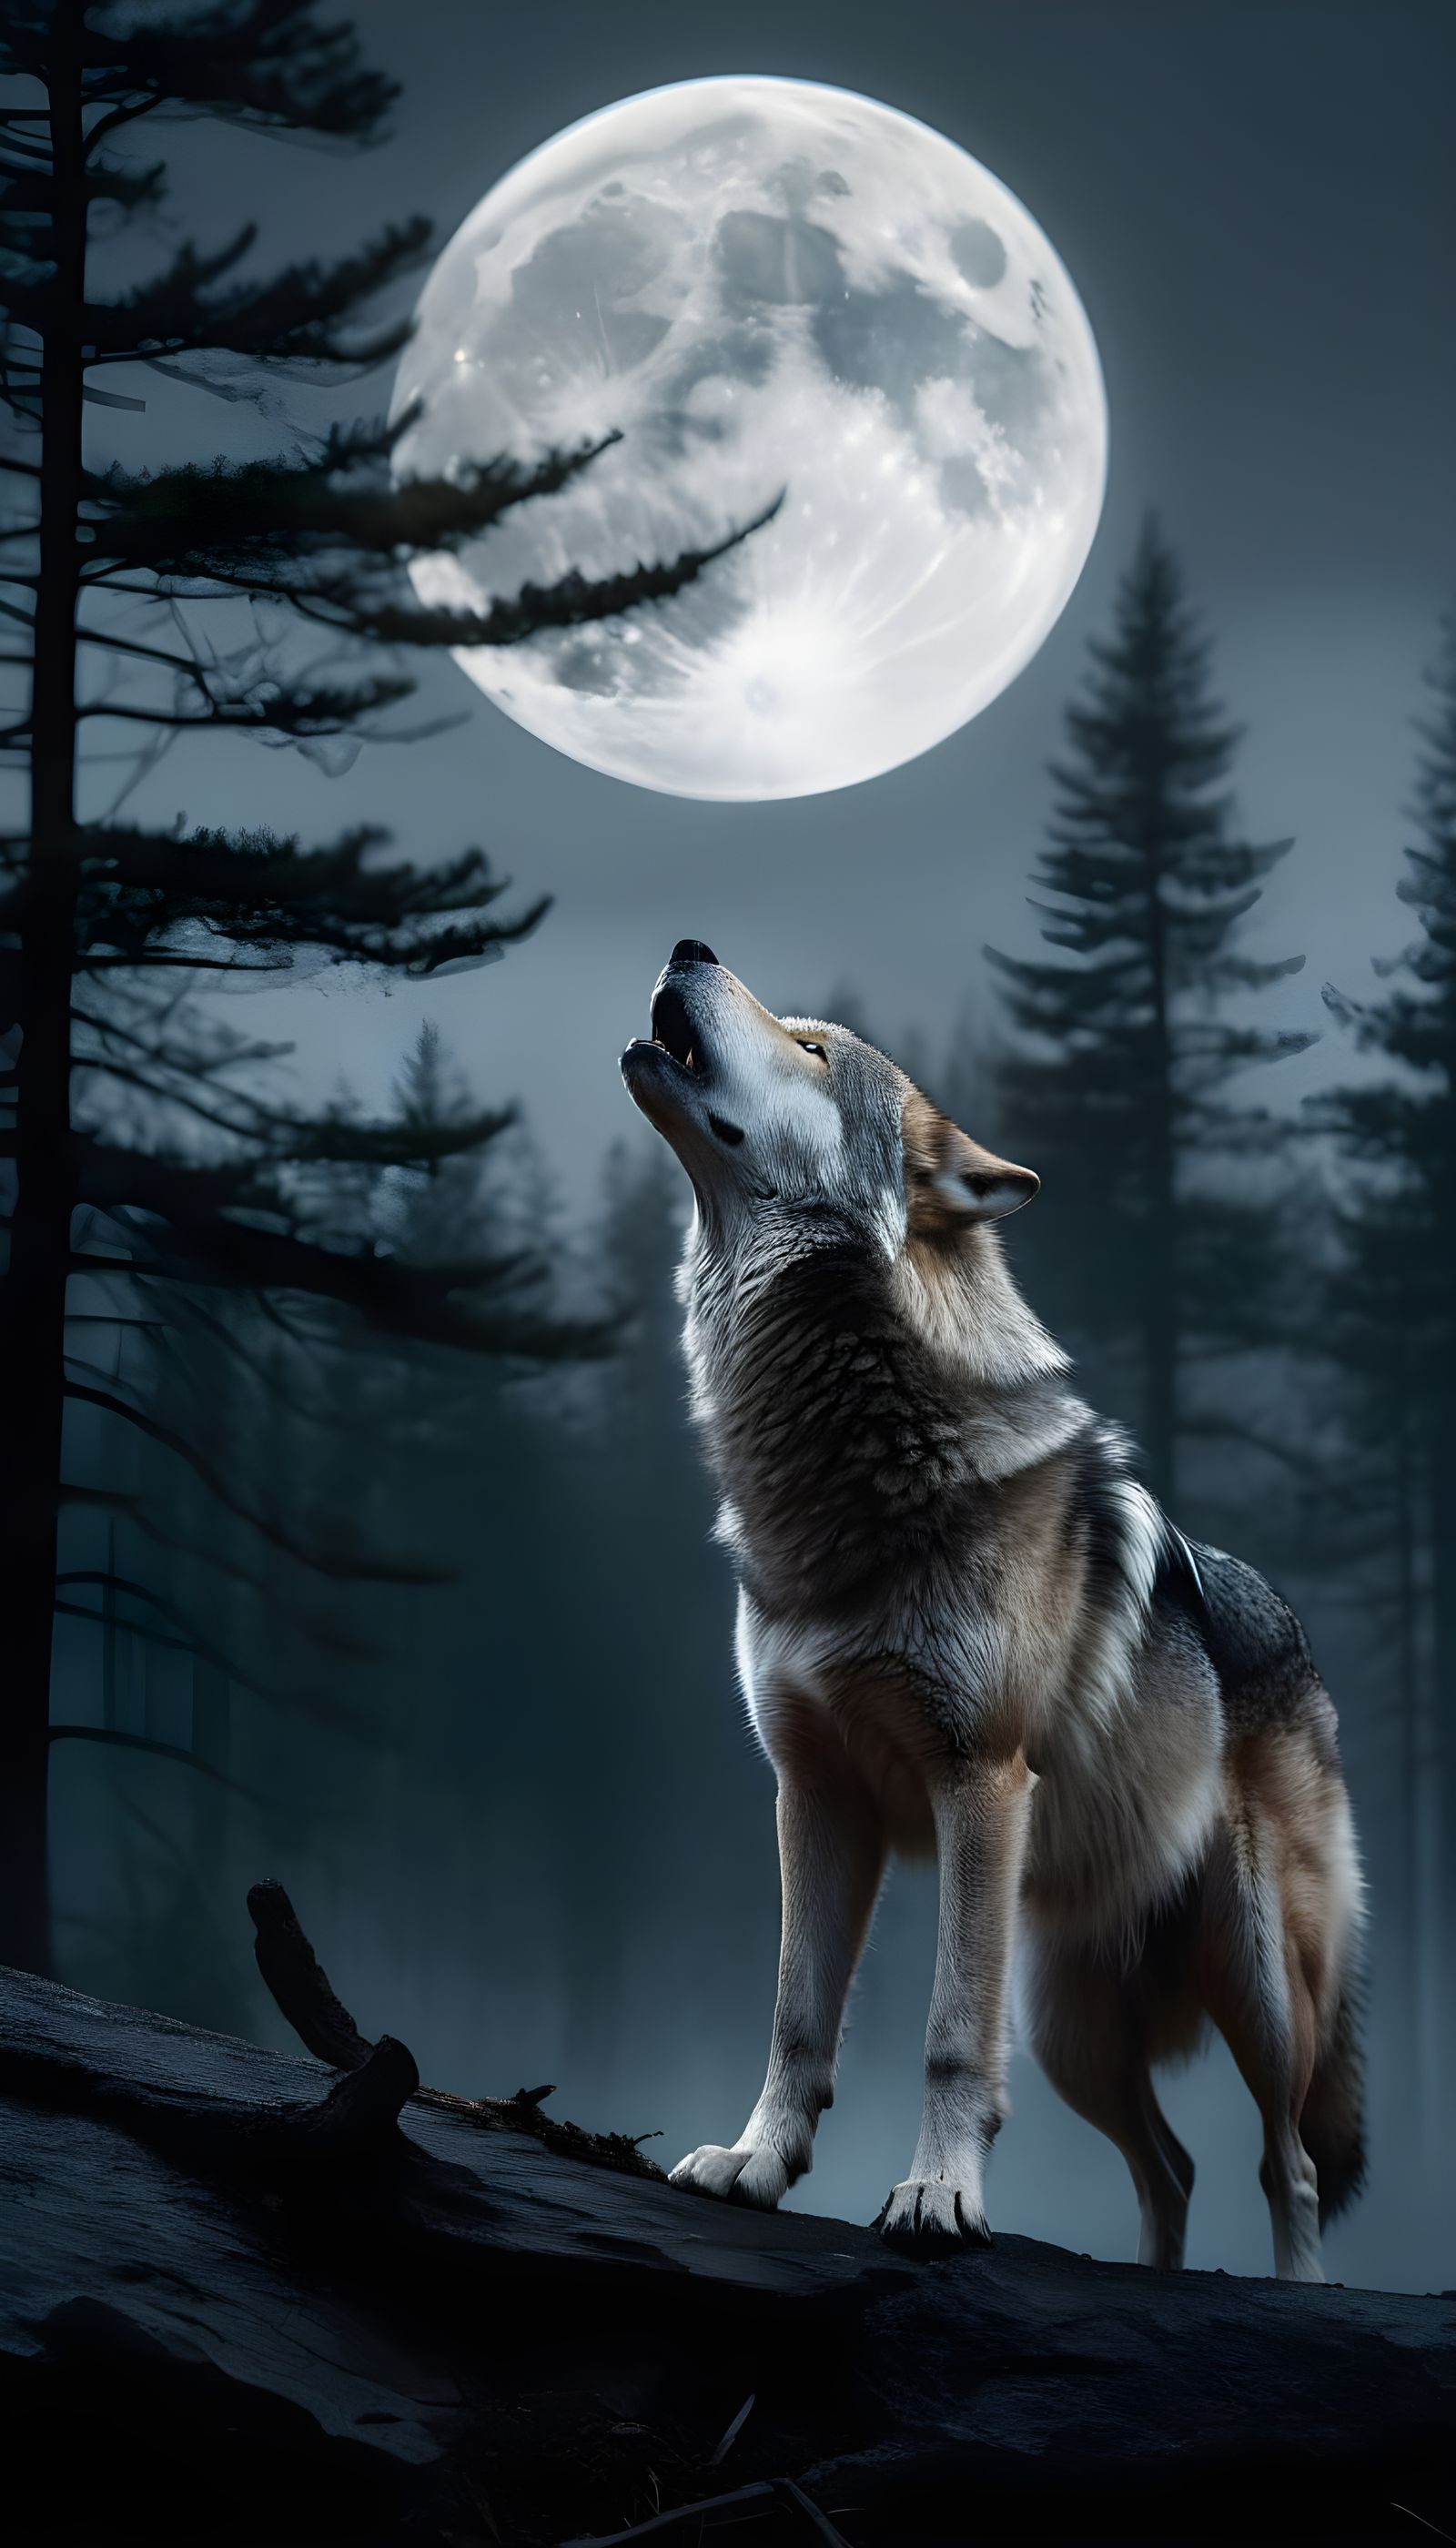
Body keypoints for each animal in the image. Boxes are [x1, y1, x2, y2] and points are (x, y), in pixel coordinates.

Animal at [621, 942, 1366, 2281]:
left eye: (814, 1049)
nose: (691, 948)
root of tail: (1292, 1629)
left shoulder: (977, 1782)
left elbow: (947, 2038)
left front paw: (936, 2196)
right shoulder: (814, 1795)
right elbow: (796, 2017)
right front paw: (757, 2164)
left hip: (1254, 1982)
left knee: (1284, 2163)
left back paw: (1299, 2293)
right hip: (1072, 2024)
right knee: (1171, 2167)